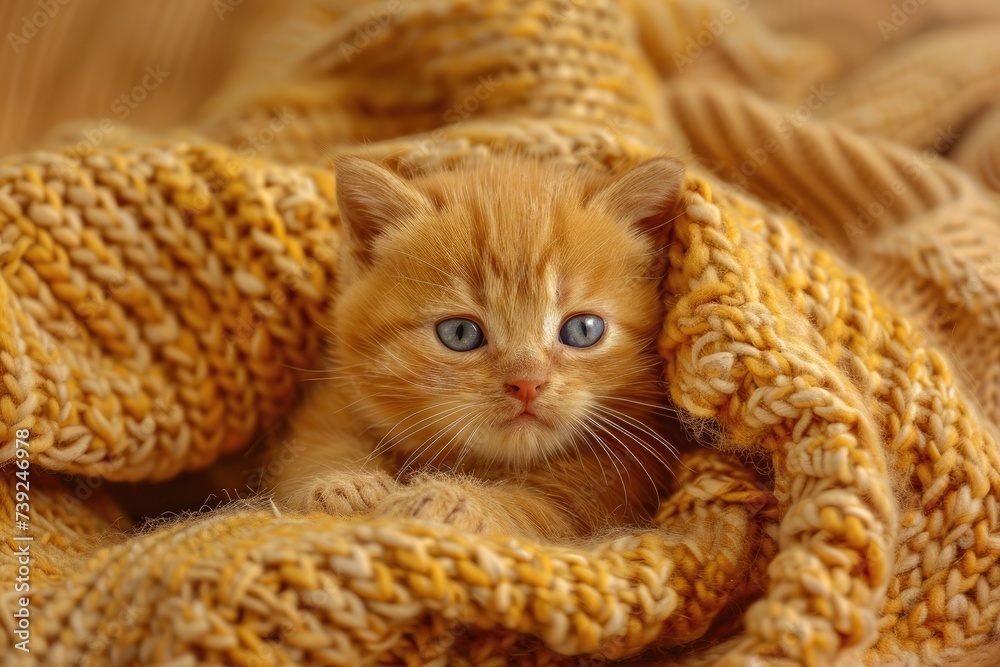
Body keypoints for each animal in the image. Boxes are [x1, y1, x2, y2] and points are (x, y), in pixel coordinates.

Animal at [266, 154, 688, 540]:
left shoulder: (609, 488)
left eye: (583, 330)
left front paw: (449, 501)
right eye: (459, 333)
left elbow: (532, 507)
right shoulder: (331, 407)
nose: (527, 383)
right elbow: (317, 449)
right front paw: (345, 485)